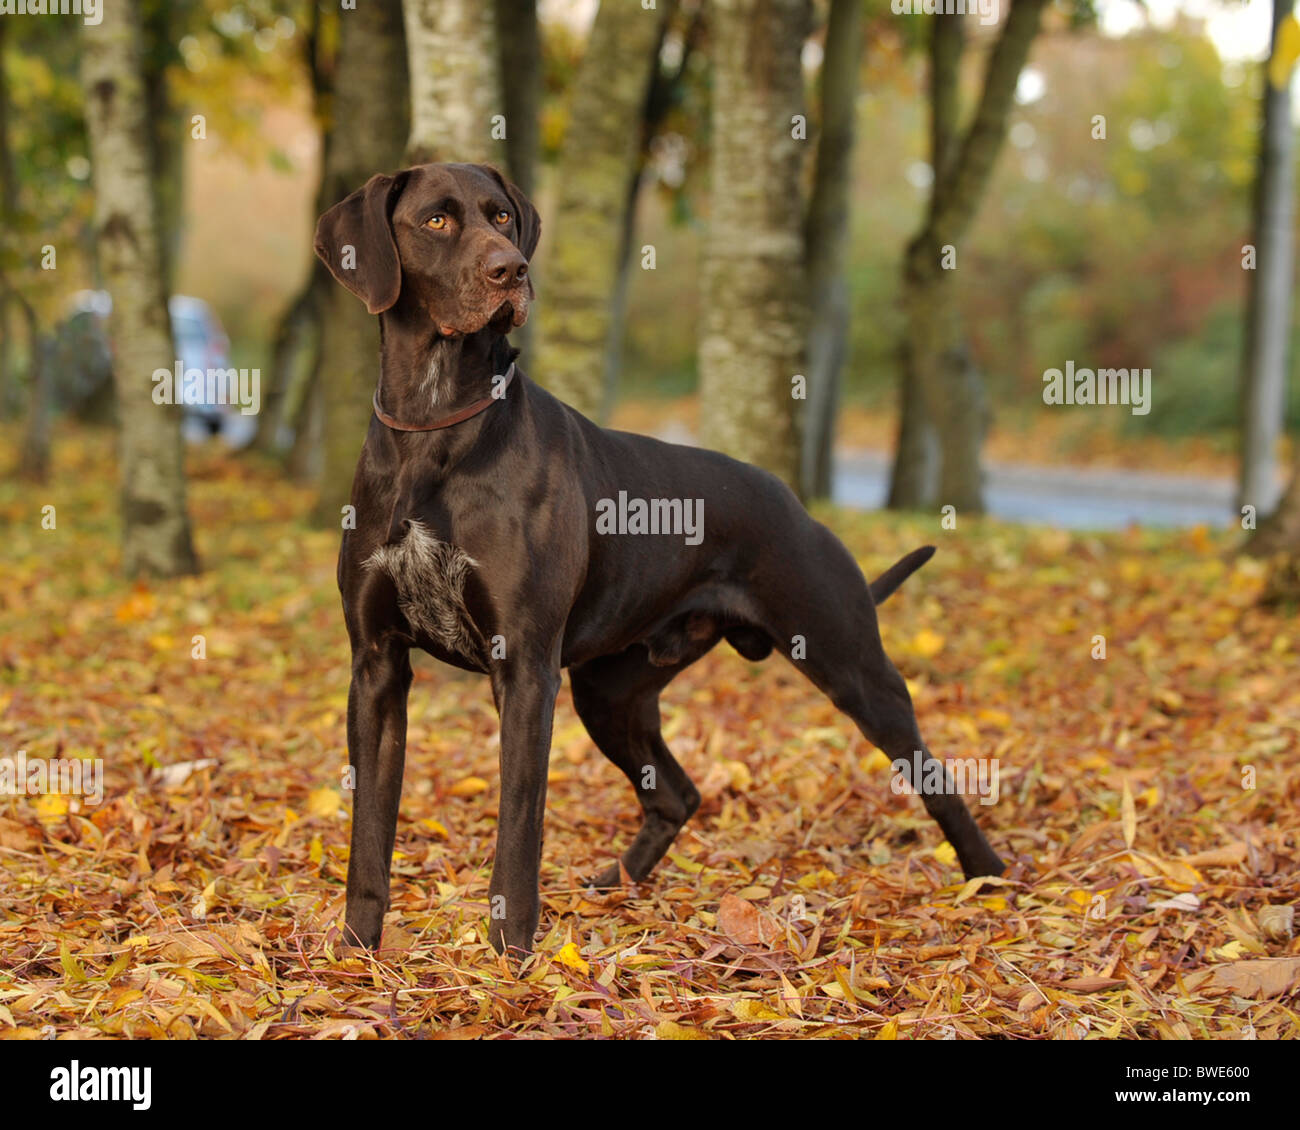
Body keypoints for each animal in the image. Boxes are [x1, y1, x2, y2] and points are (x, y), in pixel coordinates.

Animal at [312, 161, 1003, 951]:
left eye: (501, 216)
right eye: (435, 221)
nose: (511, 270)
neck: (434, 425)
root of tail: (790, 498)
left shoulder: (524, 670)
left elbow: (518, 828)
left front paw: (511, 954)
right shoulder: (377, 665)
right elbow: (370, 828)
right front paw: (357, 948)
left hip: (849, 663)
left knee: (936, 777)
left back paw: (988, 877)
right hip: (611, 691)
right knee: (678, 792)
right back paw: (615, 885)